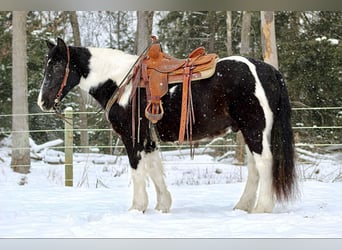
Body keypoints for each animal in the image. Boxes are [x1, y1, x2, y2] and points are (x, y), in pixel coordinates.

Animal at [37, 38, 296, 214]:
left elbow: (138, 171)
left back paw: (261, 207)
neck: (122, 83)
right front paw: (163, 205)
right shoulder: (148, 139)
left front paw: (137, 208)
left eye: (57, 66)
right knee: (254, 167)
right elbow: (154, 169)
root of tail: (268, 70)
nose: (42, 102)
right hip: (249, 131)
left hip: (255, 129)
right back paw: (243, 206)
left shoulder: (132, 137)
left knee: (264, 163)